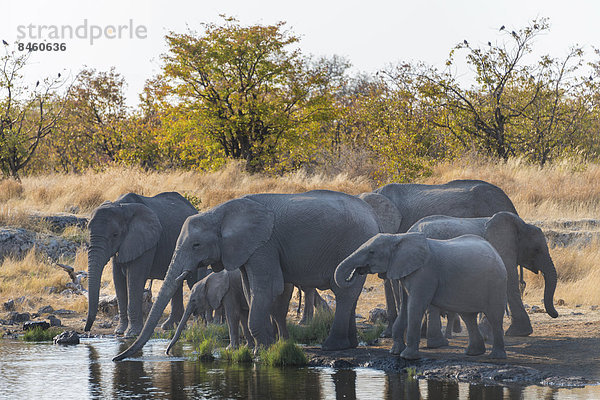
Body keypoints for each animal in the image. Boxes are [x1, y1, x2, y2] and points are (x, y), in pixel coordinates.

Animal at [84, 192, 198, 336]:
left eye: (115, 235)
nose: (86, 329)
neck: (121, 206)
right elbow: (118, 279)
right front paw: (119, 331)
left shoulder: (146, 242)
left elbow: (134, 278)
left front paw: (131, 334)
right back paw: (169, 327)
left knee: (195, 280)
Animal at [113, 189, 380, 360]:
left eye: (196, 245)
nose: (117, 359)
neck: (220, 213)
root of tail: (372, 216)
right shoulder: (247, 249)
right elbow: (249, 289)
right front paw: (264, 348)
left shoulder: (264, 245)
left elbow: (267, 288)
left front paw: (262, 352)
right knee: (350, 294)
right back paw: (349, 345)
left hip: (354, 244)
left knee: (344, 291)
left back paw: (331, 347)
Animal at [336, 231, 508, 360]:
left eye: (371, 252)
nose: (356, 272)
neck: (398, 238)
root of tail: (496, 251)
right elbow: (405, 306)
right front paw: (395, 352)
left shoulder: (425, 272)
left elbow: (415, 306)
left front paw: (407, 357)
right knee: (468, 317)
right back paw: (473, 353)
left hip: (496, 284)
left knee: (494, 317)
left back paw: (496, 357)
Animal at [410, 211, 560, 342]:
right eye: (536, 250)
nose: (556, 313)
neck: (520, 225)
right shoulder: (501, 248)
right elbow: (509, 279)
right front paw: (519, 333)